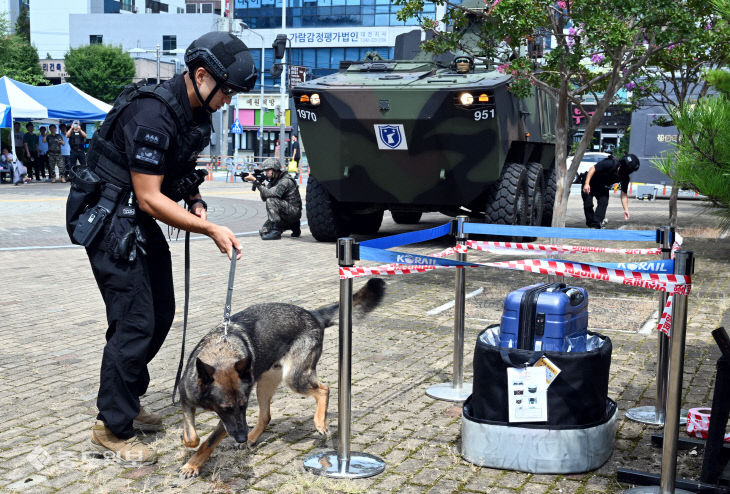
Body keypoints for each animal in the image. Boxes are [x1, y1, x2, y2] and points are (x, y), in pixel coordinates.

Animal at [176, 280, 384, 476]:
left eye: (244, 406)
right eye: (226, 408)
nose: (241, 437)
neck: (221, 353)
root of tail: (312, 314)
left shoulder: (226, 422)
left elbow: (208, 442)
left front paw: (192, 465)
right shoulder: (188, 403)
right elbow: (192, 436)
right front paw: (188, 445)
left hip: (295, 378)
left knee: (324, 389)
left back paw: (318, 422)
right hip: (264, 385)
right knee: (266, 416)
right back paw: (252, 438)